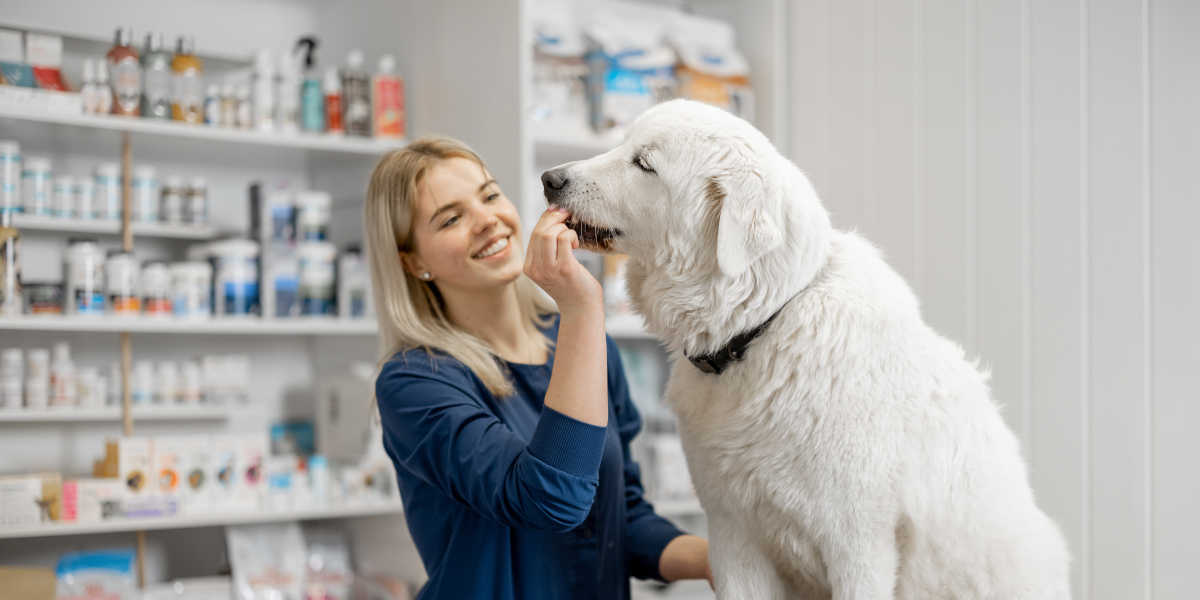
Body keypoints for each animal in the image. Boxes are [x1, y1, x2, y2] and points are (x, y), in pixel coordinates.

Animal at [542, 100, 1070, 597]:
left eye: (644, 164)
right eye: (621, 145)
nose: (549, 179)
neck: (761, 329)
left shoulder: (858, 546)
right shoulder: (732, 536)